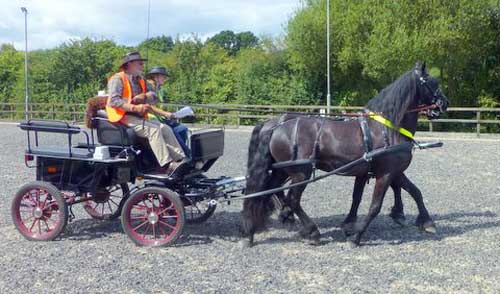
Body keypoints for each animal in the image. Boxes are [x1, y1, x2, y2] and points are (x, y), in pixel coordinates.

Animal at [240, 63, 448, 247]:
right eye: (432, 82)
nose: (445, 103)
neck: (387, 128)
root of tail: (274, 126)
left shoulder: (382, 171)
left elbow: (413, 191)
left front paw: (426, 222)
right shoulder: (386, 173)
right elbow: (375, 206)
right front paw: (356, 236)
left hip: (282, 170)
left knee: (268, 191)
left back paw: (256, 229)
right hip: (300, 173)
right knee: (292, 199)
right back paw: (311, 231)